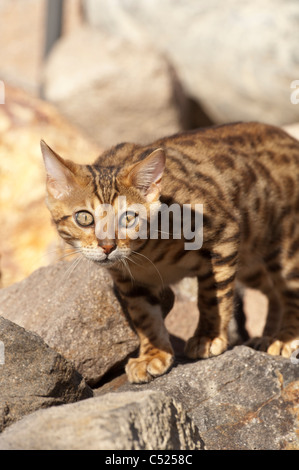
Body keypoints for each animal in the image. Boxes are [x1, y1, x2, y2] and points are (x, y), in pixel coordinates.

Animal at [41, 123, 299, 384]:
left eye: (128, 218)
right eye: (84, 218)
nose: (107, 246)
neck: (144, 255)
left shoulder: (225, 234)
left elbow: (211, 296)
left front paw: (208, 336)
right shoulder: (129, 281)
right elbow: (145, 316)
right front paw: (153, 355)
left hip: (285, 251)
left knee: (289, 292)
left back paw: (284, 339)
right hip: (251, 262)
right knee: (273, 292)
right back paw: (267, 337)